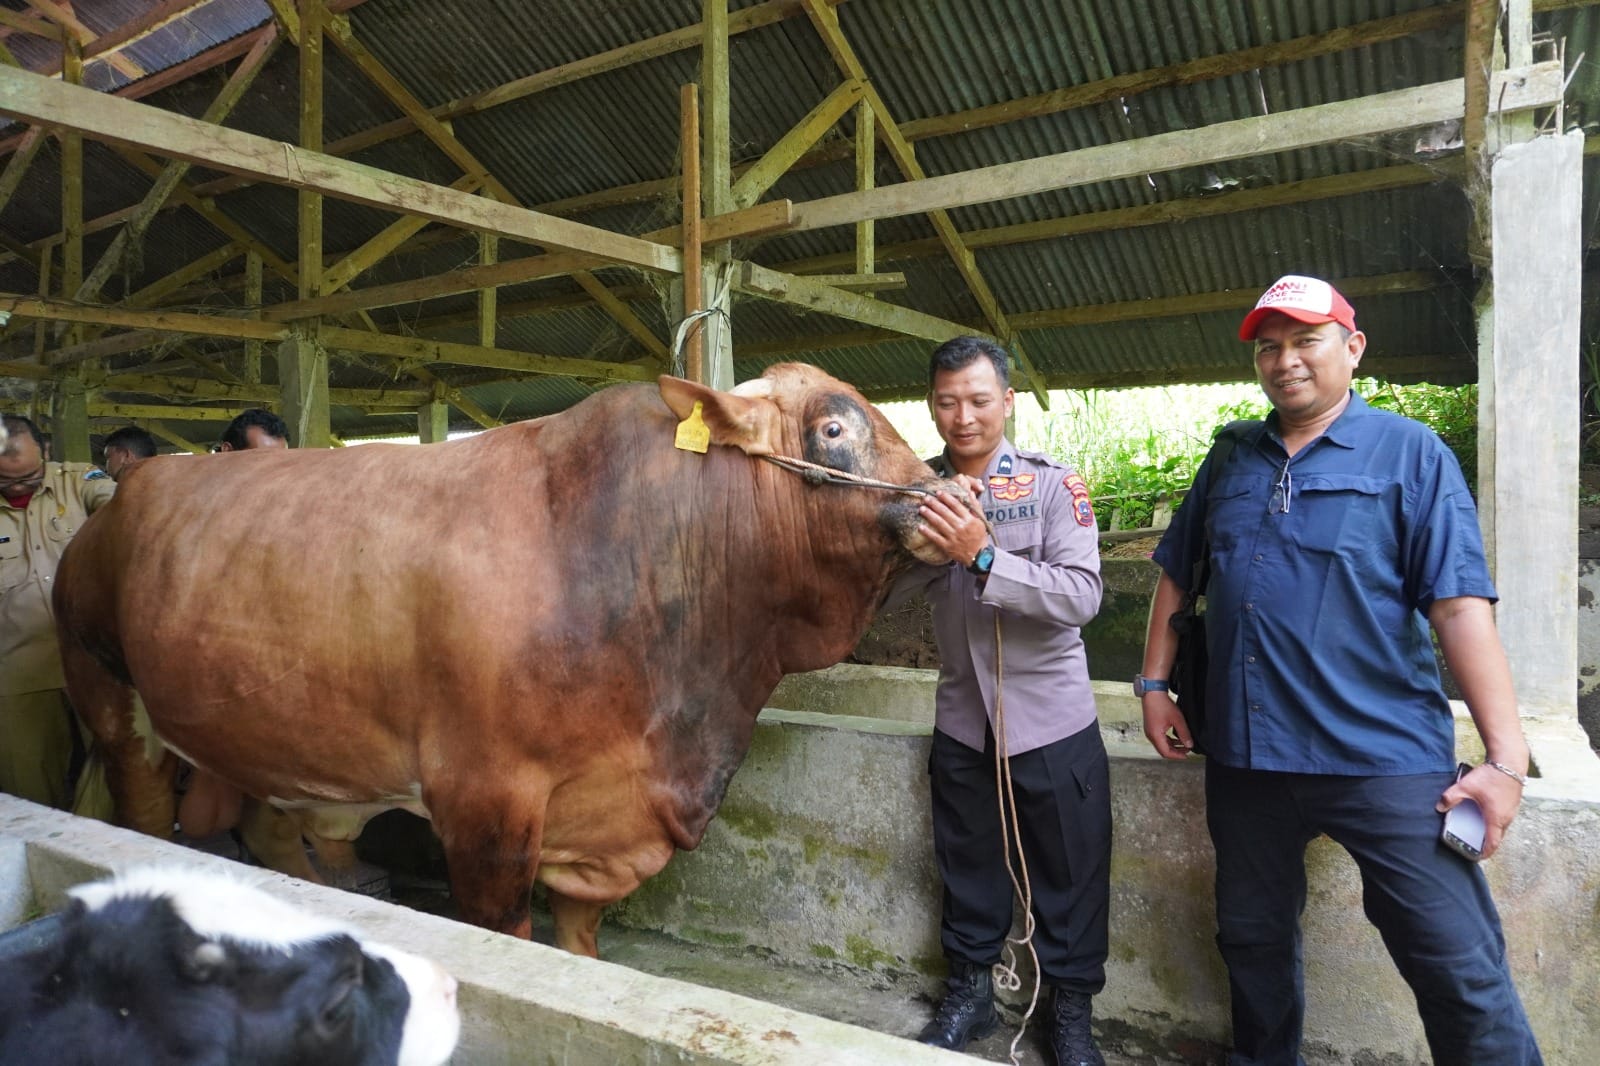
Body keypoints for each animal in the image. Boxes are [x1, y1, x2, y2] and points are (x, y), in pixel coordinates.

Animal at [56, 361, 953, 947]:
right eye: (834, 428)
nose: (952, 494)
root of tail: (112, 504)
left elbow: (582, 944)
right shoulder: (484, 799)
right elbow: (506, 930)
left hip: (268, 732)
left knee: (272, 830)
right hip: (110, 701)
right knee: (143, 819)